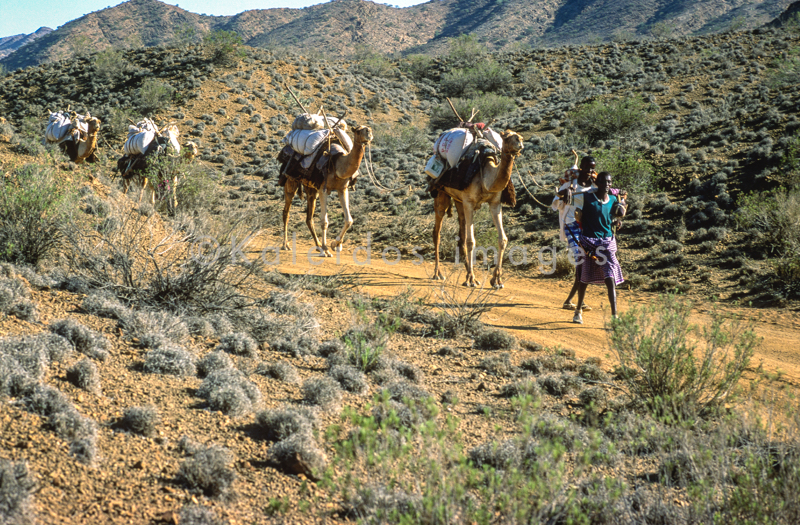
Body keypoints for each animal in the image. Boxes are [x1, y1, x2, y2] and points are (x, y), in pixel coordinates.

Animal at [282, 123, 376, 254]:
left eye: (368, 128)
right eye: (357, 131)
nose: (369, 132)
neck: (338, 165)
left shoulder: (343, 189)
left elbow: (349, 220)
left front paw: (335, 244)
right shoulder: (324, 189)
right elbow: (324, 221)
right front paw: (326, 250)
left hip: (311, 188)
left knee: (309, 218)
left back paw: (317, 245)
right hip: (291, 180)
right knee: (286, 212)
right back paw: (286, 245)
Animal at [432, 129, 524, 288]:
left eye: (519, 136)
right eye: (506, 137)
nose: (520, 143)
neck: (486, 177)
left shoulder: (495, 203)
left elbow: (503, 239)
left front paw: (497, 280)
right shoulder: (469, 201)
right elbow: (471, 241)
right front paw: (470, 280)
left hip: (458, 199)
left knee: (461, 230)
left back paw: (467, 271)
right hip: (441, 192)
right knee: (437, 232)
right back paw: (438, 274)